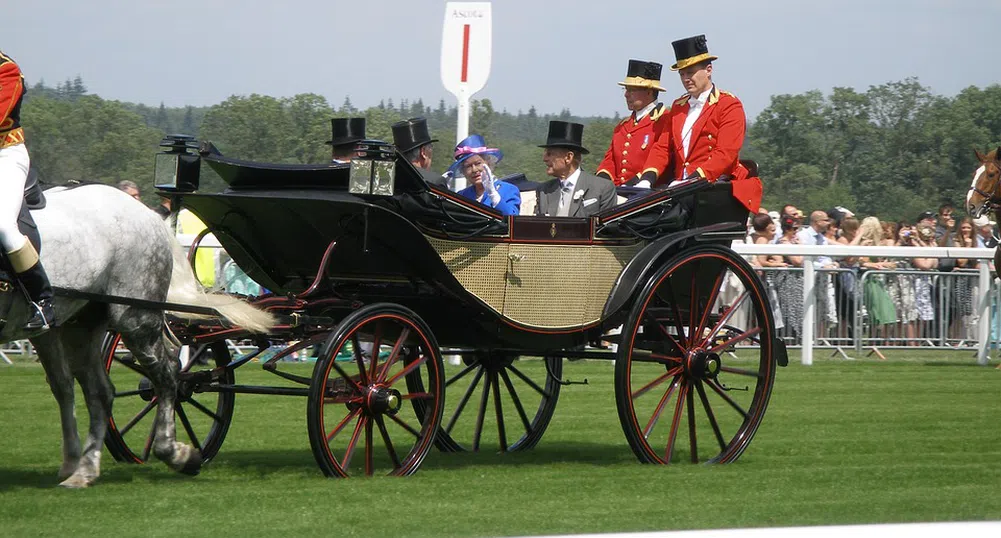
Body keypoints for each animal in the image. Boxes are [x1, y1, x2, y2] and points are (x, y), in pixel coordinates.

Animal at [1, 183, 272, 486]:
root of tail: (150, 215)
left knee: (166, 377)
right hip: (76, 325)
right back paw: (83, 468)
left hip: (135, 318)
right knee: (92, 390)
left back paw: (175, 454)